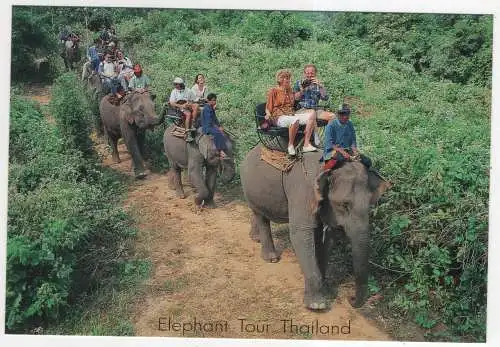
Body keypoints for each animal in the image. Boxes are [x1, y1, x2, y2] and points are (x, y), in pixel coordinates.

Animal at [239, 145, 390, 312]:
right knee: (261, 216)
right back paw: (271, 258)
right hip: (249, 186)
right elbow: (300, 234)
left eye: (370, 204)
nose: (350, 299)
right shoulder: (304, 191)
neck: (328, 166)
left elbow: (326, 238)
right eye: (344, 205)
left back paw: (255, 238)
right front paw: (317, 305)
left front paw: (326, 291)